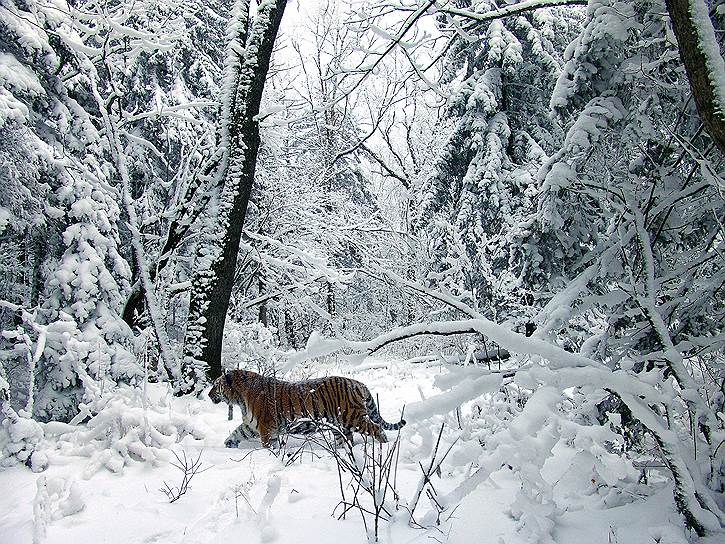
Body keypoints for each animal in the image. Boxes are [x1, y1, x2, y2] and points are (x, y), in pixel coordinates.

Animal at [206, 370, 404, 450]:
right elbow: (236, 433)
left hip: (353, 417)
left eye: (215, 385)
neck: (240, 399)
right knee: (345, 439)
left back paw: (384, 446)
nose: (208, 394)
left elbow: (268, 445)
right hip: (339, 424)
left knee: (377, 429)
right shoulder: (251, 426)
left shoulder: (266, 428)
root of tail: (357, 383)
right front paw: (229, 445)